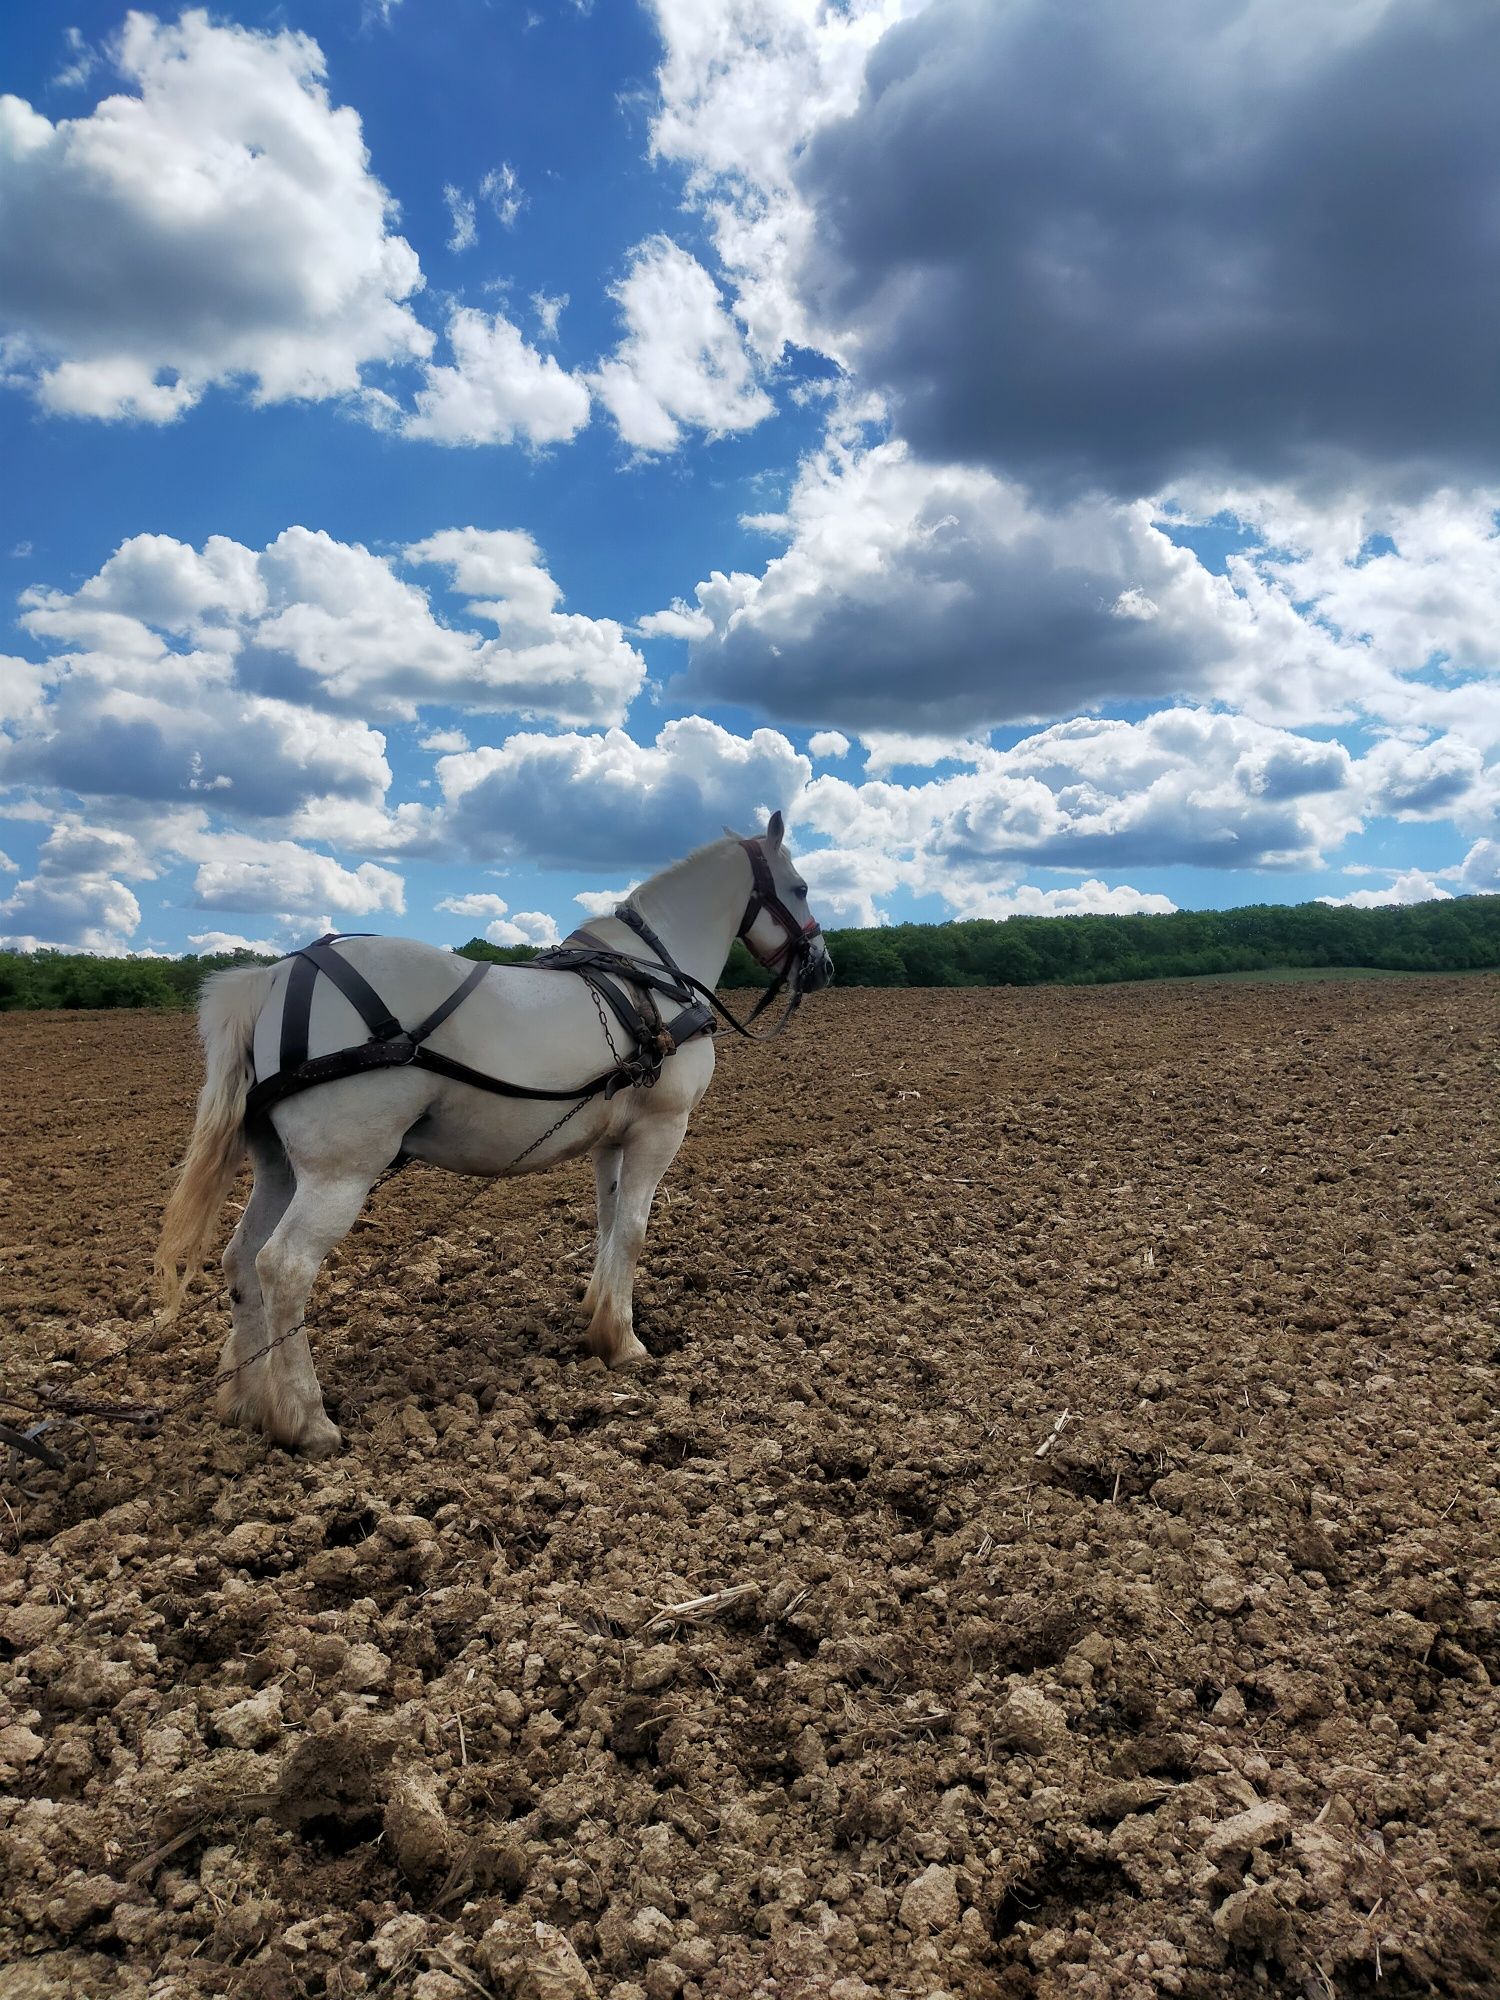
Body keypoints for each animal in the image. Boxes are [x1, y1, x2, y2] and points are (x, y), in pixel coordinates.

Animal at [156, 812, 836, 1456]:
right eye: (800, 887)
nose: (823, 965)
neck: (652, 979)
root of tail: (278, 977)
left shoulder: (611, 1140)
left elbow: (608, 1222)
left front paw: (595, 1314)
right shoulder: (661, 1129)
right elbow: (635, 1230)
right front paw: (624, 1343)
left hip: (279, 1167)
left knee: (241, 1260)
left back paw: (249, 1401)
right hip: (338, 1173)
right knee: (284, 1267)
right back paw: (305, 1419)